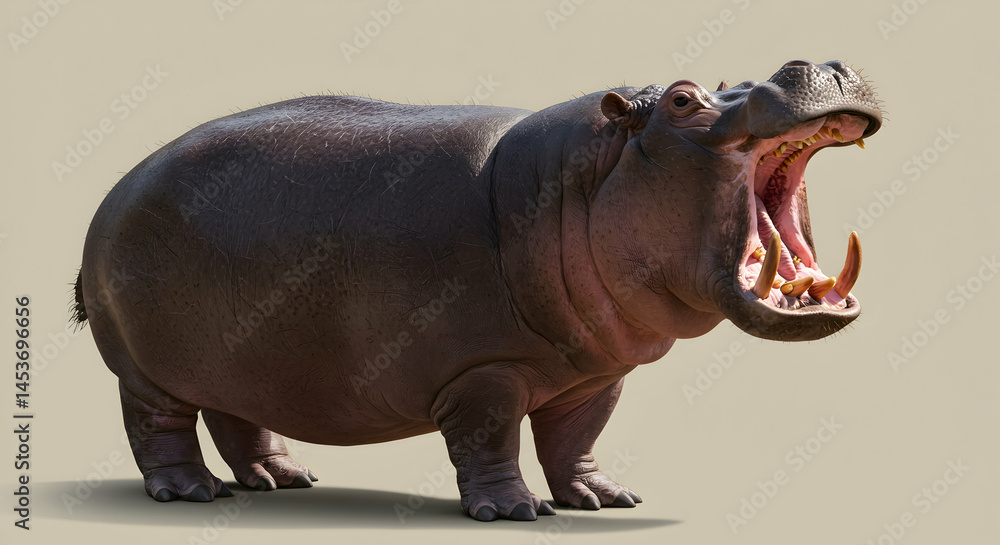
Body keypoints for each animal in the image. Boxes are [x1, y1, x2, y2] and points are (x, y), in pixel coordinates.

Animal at [73, 59, 881, 522]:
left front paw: (603, 499)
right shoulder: (484, 372)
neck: (583, 176)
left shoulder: (596, 376)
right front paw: (513, 511)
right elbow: (491, 439)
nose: (814, 61)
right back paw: (190, 492)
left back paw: (284, 478)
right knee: (158, 427)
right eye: (684, 100)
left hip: (242, 359)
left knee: (240, 418)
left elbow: (577, 439)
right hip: (143, 369)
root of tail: (116, 187)